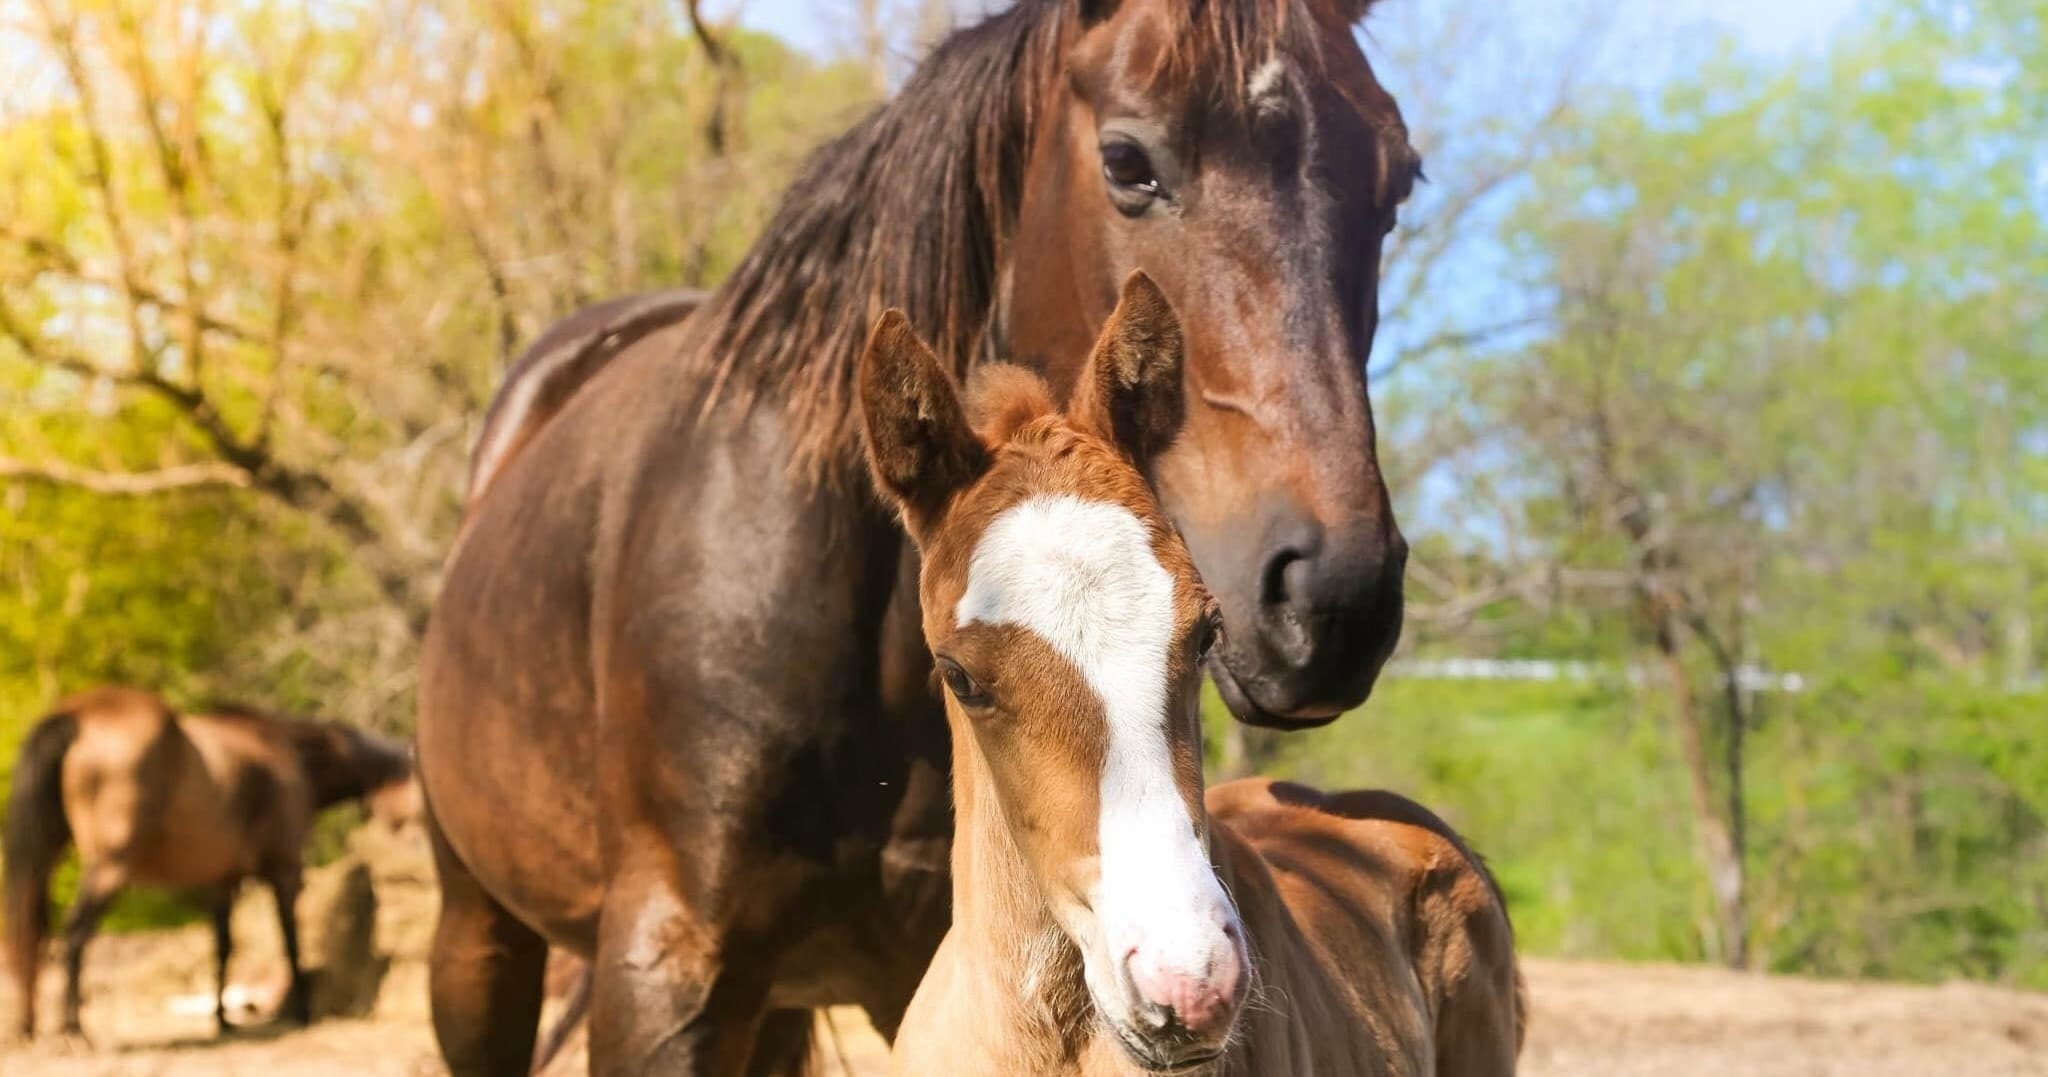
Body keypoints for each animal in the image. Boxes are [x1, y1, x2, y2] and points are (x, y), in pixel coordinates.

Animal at [3, 686, 415, 1040]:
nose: (409, 830)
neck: (294, 757)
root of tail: (75, 715)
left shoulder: (223, 880)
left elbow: (223, 946)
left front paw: (222, 1020)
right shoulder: (284, 870)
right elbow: (290, 940)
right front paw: (301, 1012)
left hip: (46, 856)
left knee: (32, 928)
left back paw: (27, 1025)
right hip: (110, 866)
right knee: (74, 935)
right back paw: (73, 1028)